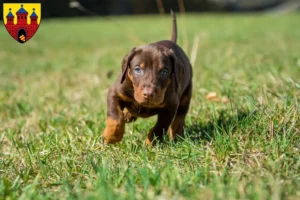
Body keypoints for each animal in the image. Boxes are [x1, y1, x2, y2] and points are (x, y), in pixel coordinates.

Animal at [102, 10, 192, 145]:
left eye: (164, 72)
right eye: (137, 69)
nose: (148, 94)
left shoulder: (171, 105)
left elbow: (159, 127)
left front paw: (151, 143)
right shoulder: (115, 92)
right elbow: (115, 116)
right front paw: (112, 136)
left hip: (186, 94)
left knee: (180, 116)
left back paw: (176, 134)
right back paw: (128, 114)